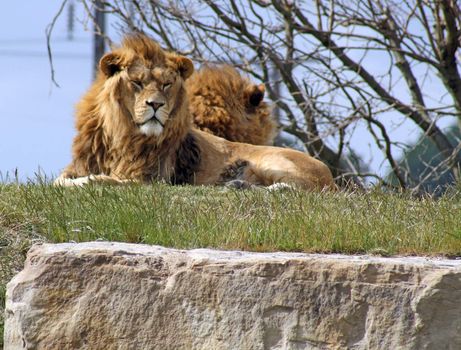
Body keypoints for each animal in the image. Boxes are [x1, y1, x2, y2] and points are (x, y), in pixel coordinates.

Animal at [54, 34, 334, 191]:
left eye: (167, 84)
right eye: (137, 82)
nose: (156, 105)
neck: (122, 135)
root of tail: (331, 176)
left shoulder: (151, 179)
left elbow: (104, 180)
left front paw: (84, 183)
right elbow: (59, 180)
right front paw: (70, 182)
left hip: (274, 162)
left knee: (303, 191)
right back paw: (239, 185)